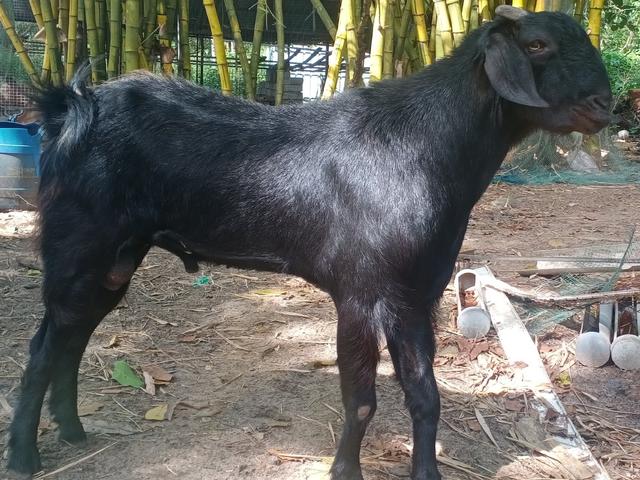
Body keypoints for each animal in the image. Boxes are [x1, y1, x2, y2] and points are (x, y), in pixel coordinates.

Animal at [7, 6, 610, 480]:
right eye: (537, 44)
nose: (605, 105)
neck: (419, 148)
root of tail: (72, 107)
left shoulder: (416, 296)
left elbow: (425, 396)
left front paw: (427, 473)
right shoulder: (360, 294)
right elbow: (362, 400)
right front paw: (344, 471)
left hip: (114, 261)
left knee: (72, 338)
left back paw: (73, 430)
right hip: (78, 248)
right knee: (42, 348)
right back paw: (23, 458)